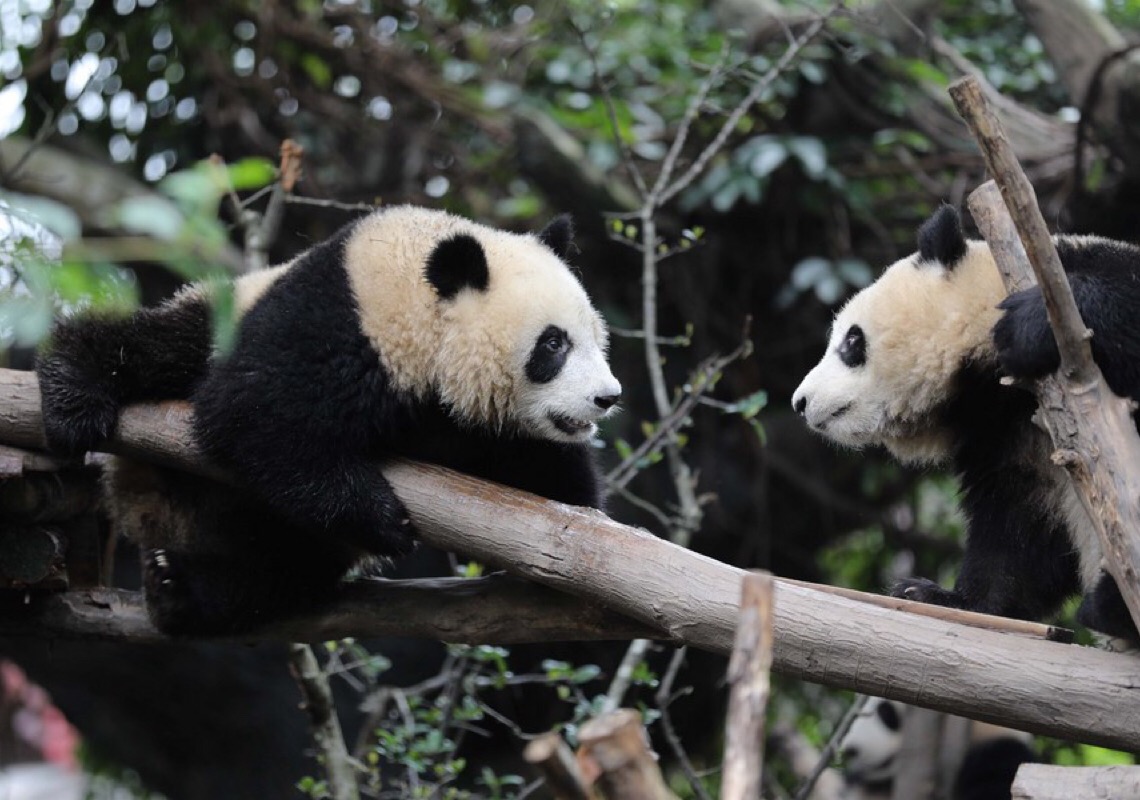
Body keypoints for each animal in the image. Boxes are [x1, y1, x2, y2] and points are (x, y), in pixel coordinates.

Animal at [35, 205, 622, 634]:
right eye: (553, 344)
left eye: (597, 338)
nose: (607, 398)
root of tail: (151, 509)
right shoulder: (340, 321)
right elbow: (253, 414)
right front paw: (380, 516)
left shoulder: (492, 432)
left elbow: (557, 488)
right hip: (220, 319)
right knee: (156, 345)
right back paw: (73, 392)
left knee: (277, 567)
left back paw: (179, 588)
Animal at [791, 204, 1140, 644]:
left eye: (852, 341)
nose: (800, 402)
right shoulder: (1007, 435)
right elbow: (1020, 531)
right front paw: (937, 595)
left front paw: (1031, 323)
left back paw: (1110, 605)